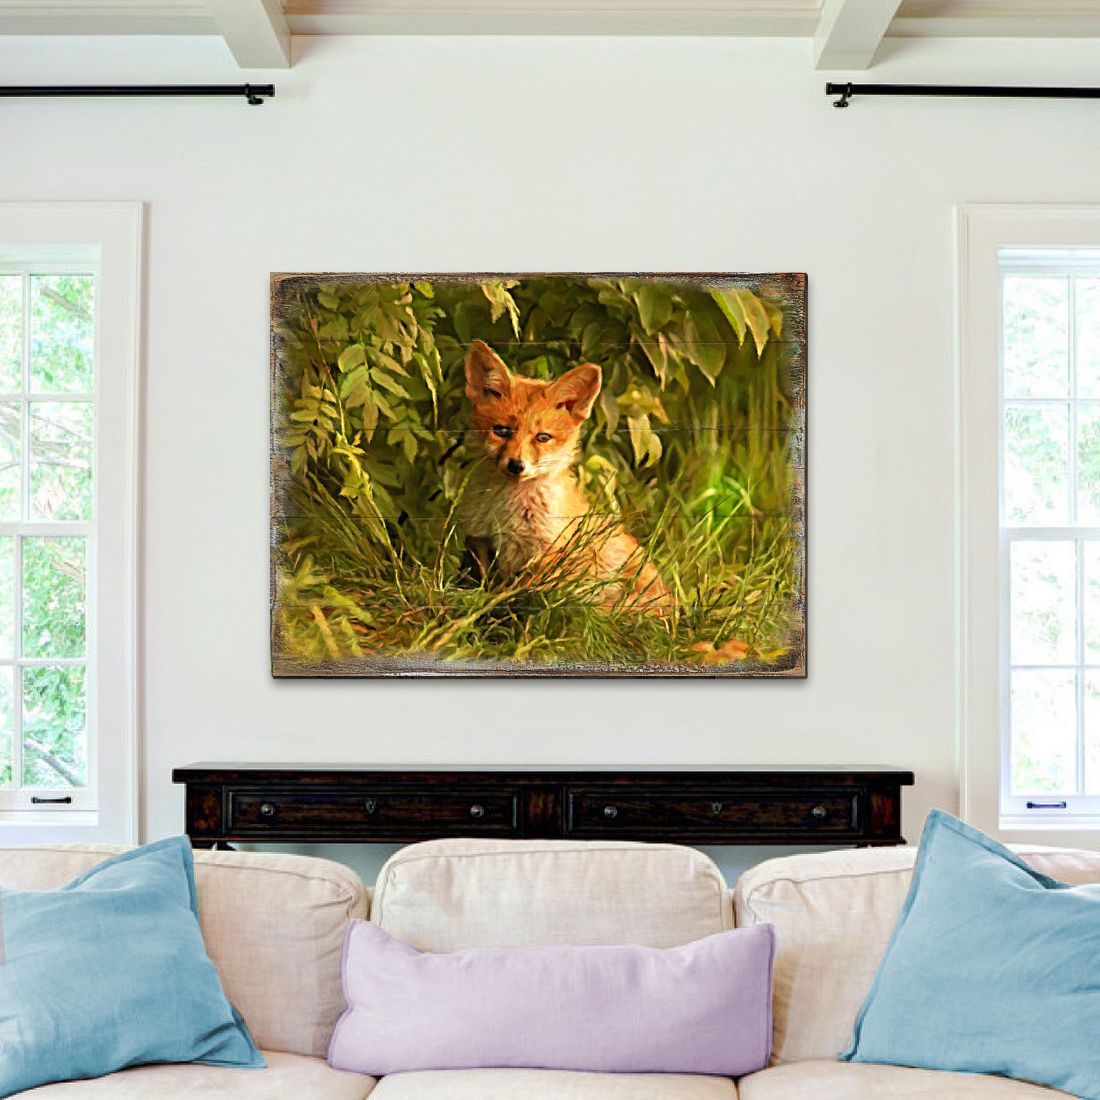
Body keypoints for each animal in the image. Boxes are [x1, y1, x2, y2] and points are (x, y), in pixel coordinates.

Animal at [460, 340, 670, 612]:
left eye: (542, 437)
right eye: (502, 431)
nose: (516, 465)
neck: (507, 509)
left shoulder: (548, 552)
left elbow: (524, 594)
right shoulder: (480, 540)